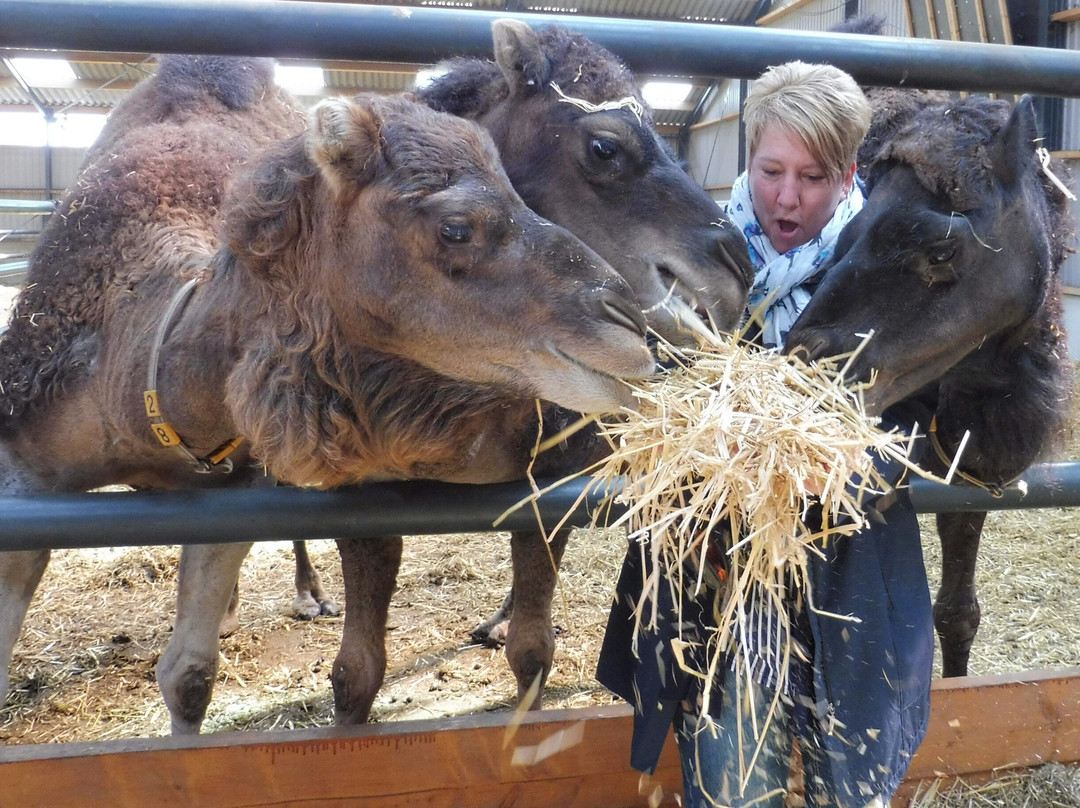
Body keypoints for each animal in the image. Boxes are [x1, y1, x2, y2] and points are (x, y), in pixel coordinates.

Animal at [0, 52, 648, 730]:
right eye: (455, 227)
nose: (630, 323)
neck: (135, 378)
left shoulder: (233, 486)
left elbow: (189, 677)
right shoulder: (22, 475)